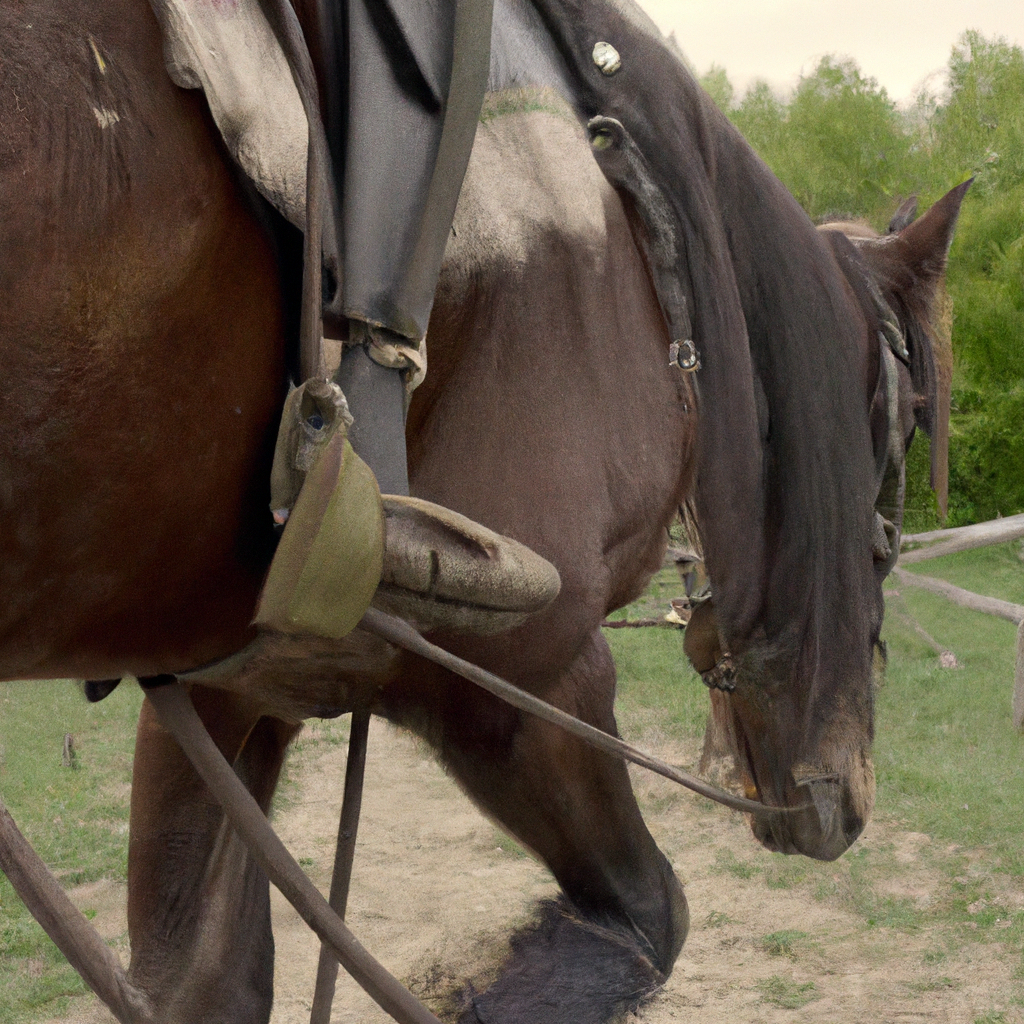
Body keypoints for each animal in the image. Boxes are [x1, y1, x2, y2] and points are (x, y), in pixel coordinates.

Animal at [0, 2, 958, 1024]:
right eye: (907, 426)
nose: (841, 801)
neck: (637, 251)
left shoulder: (235, 680)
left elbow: (208, 976)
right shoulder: (517, 671)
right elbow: (651, 917)